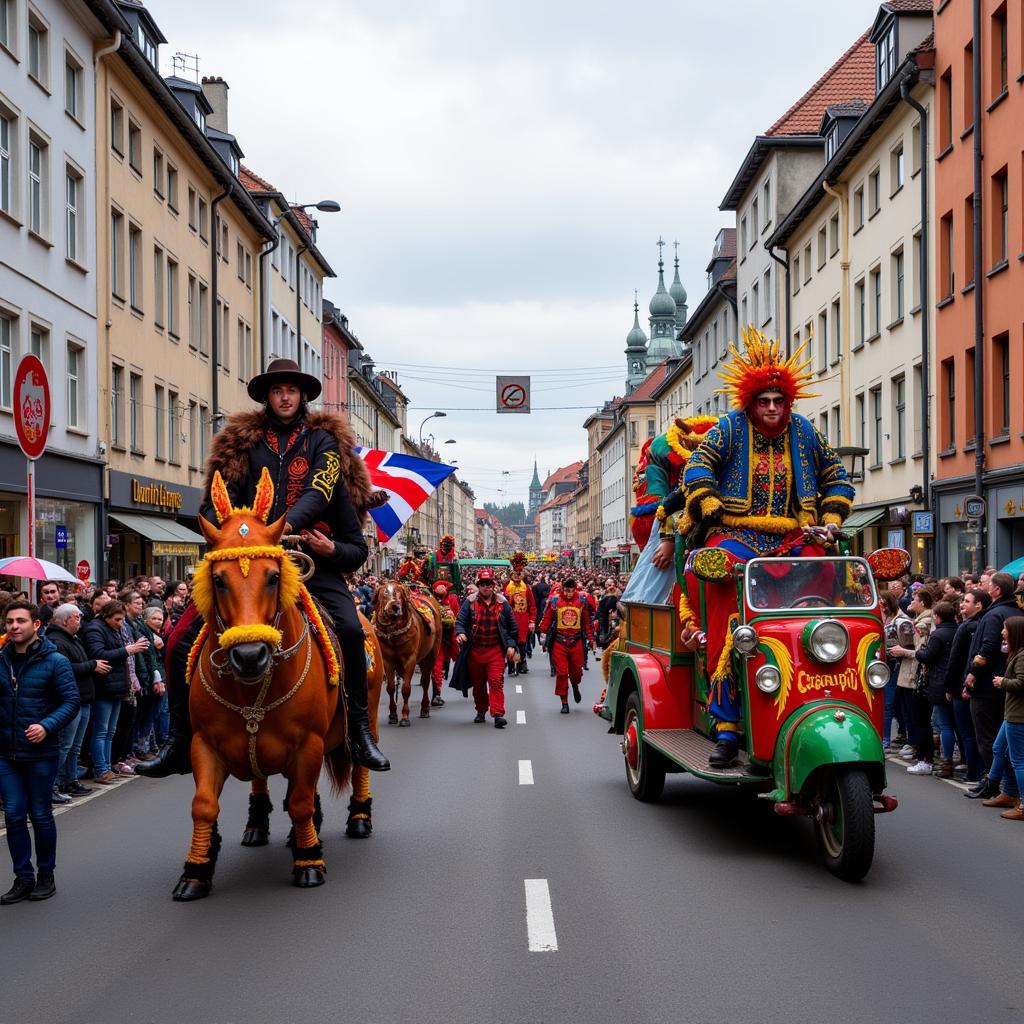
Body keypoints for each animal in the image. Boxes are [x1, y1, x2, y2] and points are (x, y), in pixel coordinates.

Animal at [174, 468, 350, 901]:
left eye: (273, 576)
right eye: (218, 579)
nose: (250, 655)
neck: (251, 693)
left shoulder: (309, 744)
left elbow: (300, 802)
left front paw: (309, 862)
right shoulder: (203, 743)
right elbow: (203, 805)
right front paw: (196, 870)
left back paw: (358, 818)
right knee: (261, 780)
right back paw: (258, 825)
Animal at [239, 610, 385, 843]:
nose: (249, 657)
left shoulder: (305, 737)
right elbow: (260, 773)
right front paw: (257, 826)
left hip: (369, 711)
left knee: (361, 760)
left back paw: (359, 819)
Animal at [374, 585, 442, 729]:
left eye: (399, 593)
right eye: (385, 593)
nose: (395, 607)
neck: (393, 635)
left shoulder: (410, 660)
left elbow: (405, 688)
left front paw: (405, 717)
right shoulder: (387, 661)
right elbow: (390, 687)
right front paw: (393, 715)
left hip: (432, 654)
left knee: (426, 681)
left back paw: (425, 708)